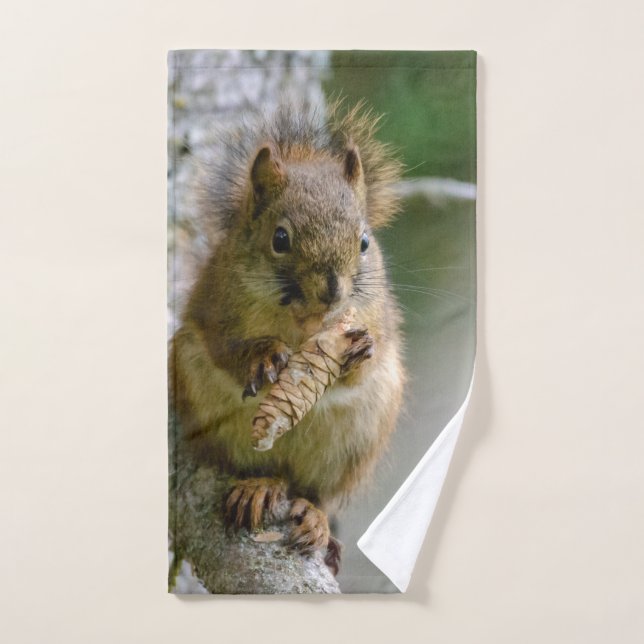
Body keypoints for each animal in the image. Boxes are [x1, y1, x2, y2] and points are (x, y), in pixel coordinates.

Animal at [170, 101, 405, 575]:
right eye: (280, 238)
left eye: (365, 242)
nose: (332, 289)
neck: (303, 326)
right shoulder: (216, 310)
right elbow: (226, 350)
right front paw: (263, 356)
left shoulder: (376, 318)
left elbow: (364, 362)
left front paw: (361, 349)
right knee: (257, 468)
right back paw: (258, 486)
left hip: (358, 439)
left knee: (314, 492)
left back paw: (314, 518)